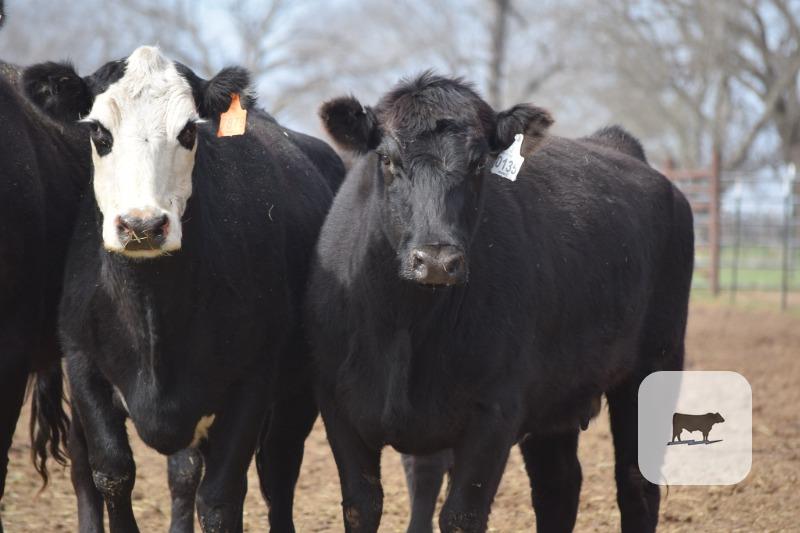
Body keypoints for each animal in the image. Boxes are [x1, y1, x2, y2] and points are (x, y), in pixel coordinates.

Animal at [24, 46, 341, 532]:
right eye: (98, 131)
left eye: (189, 131)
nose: (142, 225)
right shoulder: (83, 366)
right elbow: (112, 475)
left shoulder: (252, 379)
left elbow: (221, 497)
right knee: (127, 471)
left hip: (297, 389)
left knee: (277, 471)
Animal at [307, 72, 694, 533]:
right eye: (387, 159)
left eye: (479, 164)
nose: (436, 260)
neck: (407, 326)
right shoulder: (340, 409)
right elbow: (364, 505)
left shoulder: (494, 415)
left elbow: (461, 514)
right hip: (558, 395)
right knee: (558, 485)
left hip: (654, 366)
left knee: (636, 482)